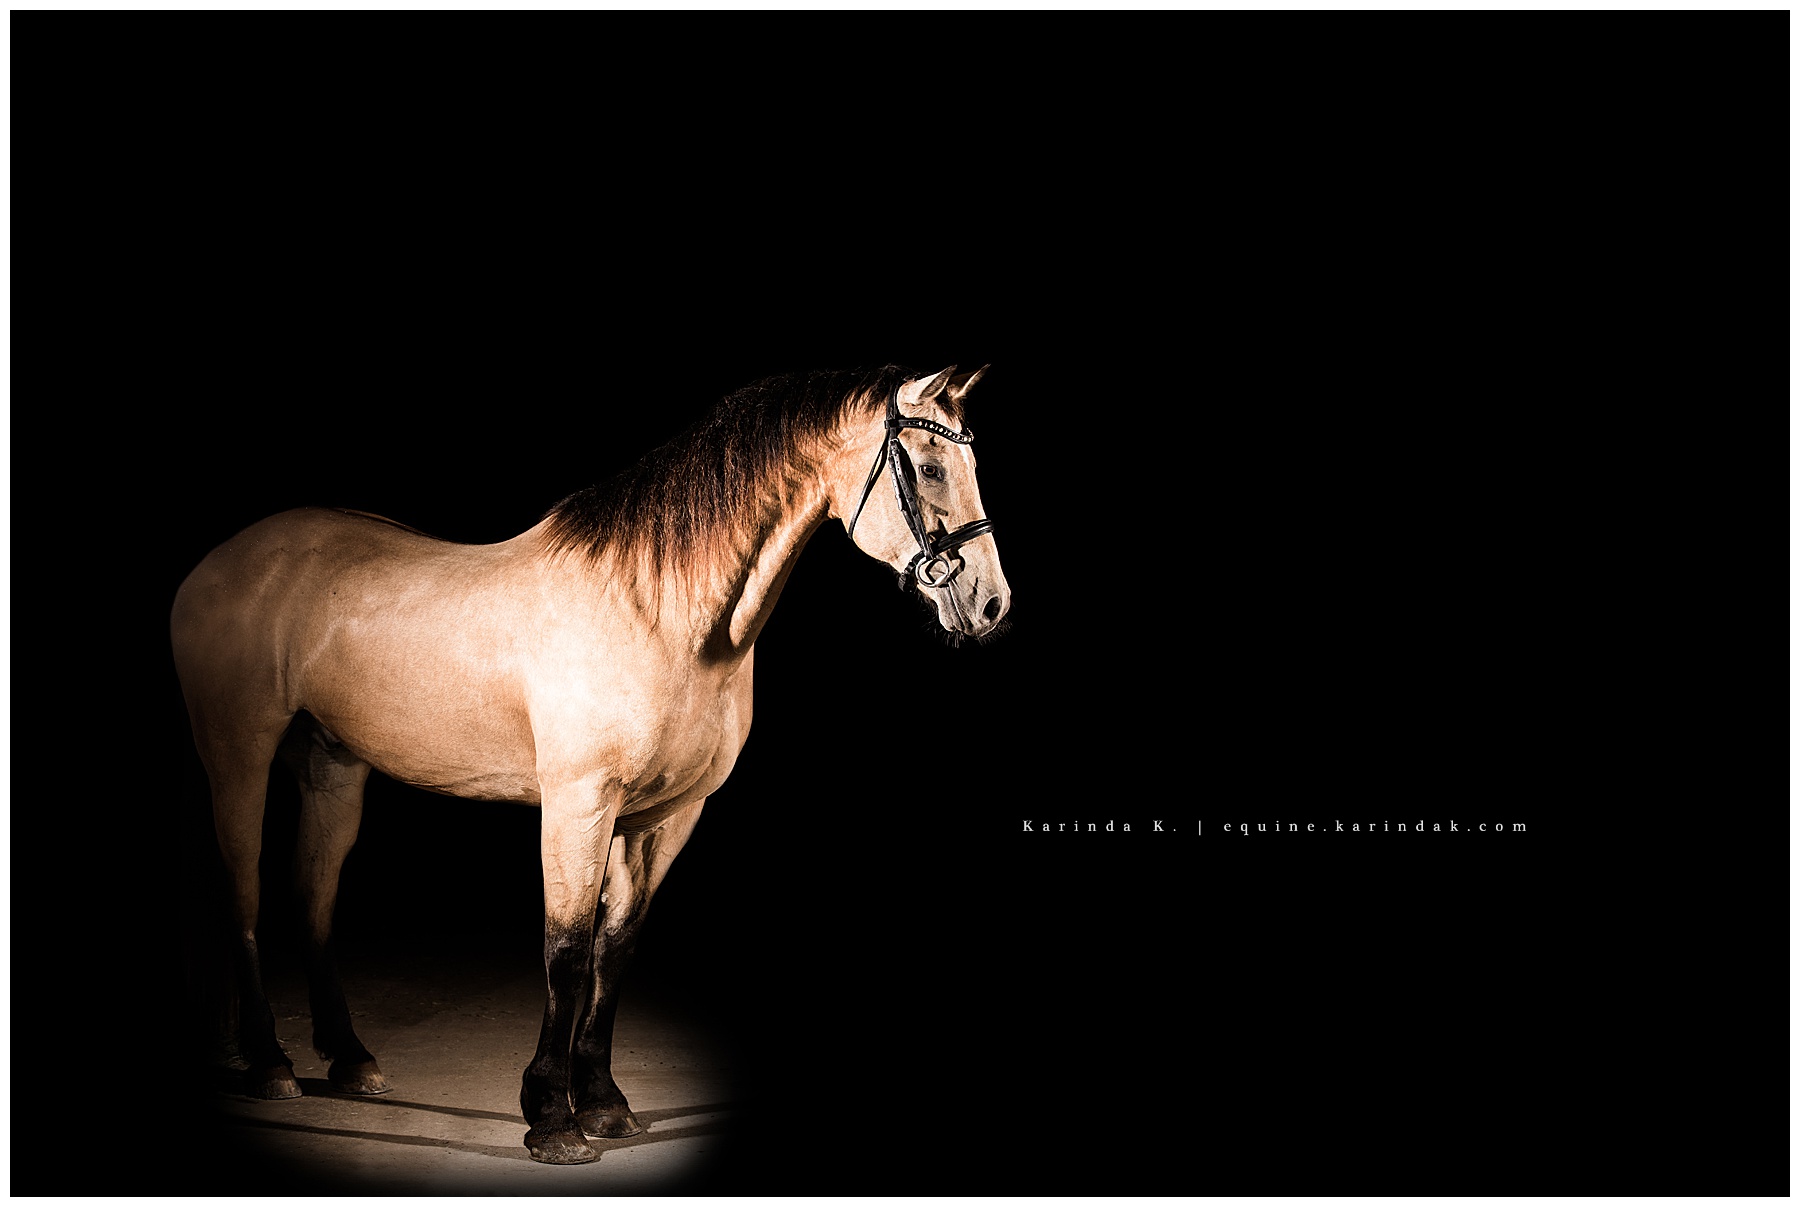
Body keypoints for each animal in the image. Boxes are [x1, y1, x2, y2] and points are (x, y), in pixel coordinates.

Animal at [170, 362, 1010, 1165]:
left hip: (335, 768)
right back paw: (269, 1063)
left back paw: (349, 1058)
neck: (661, 608)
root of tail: (217, 562)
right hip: (238, 755)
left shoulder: (665, 816)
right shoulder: (579, 802)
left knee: (312, 896)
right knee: (243, 892)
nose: (991, 603)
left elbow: (616, 947)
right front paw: (550, 1118)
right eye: (930, 466)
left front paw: (604, 1102)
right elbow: (567, 949)